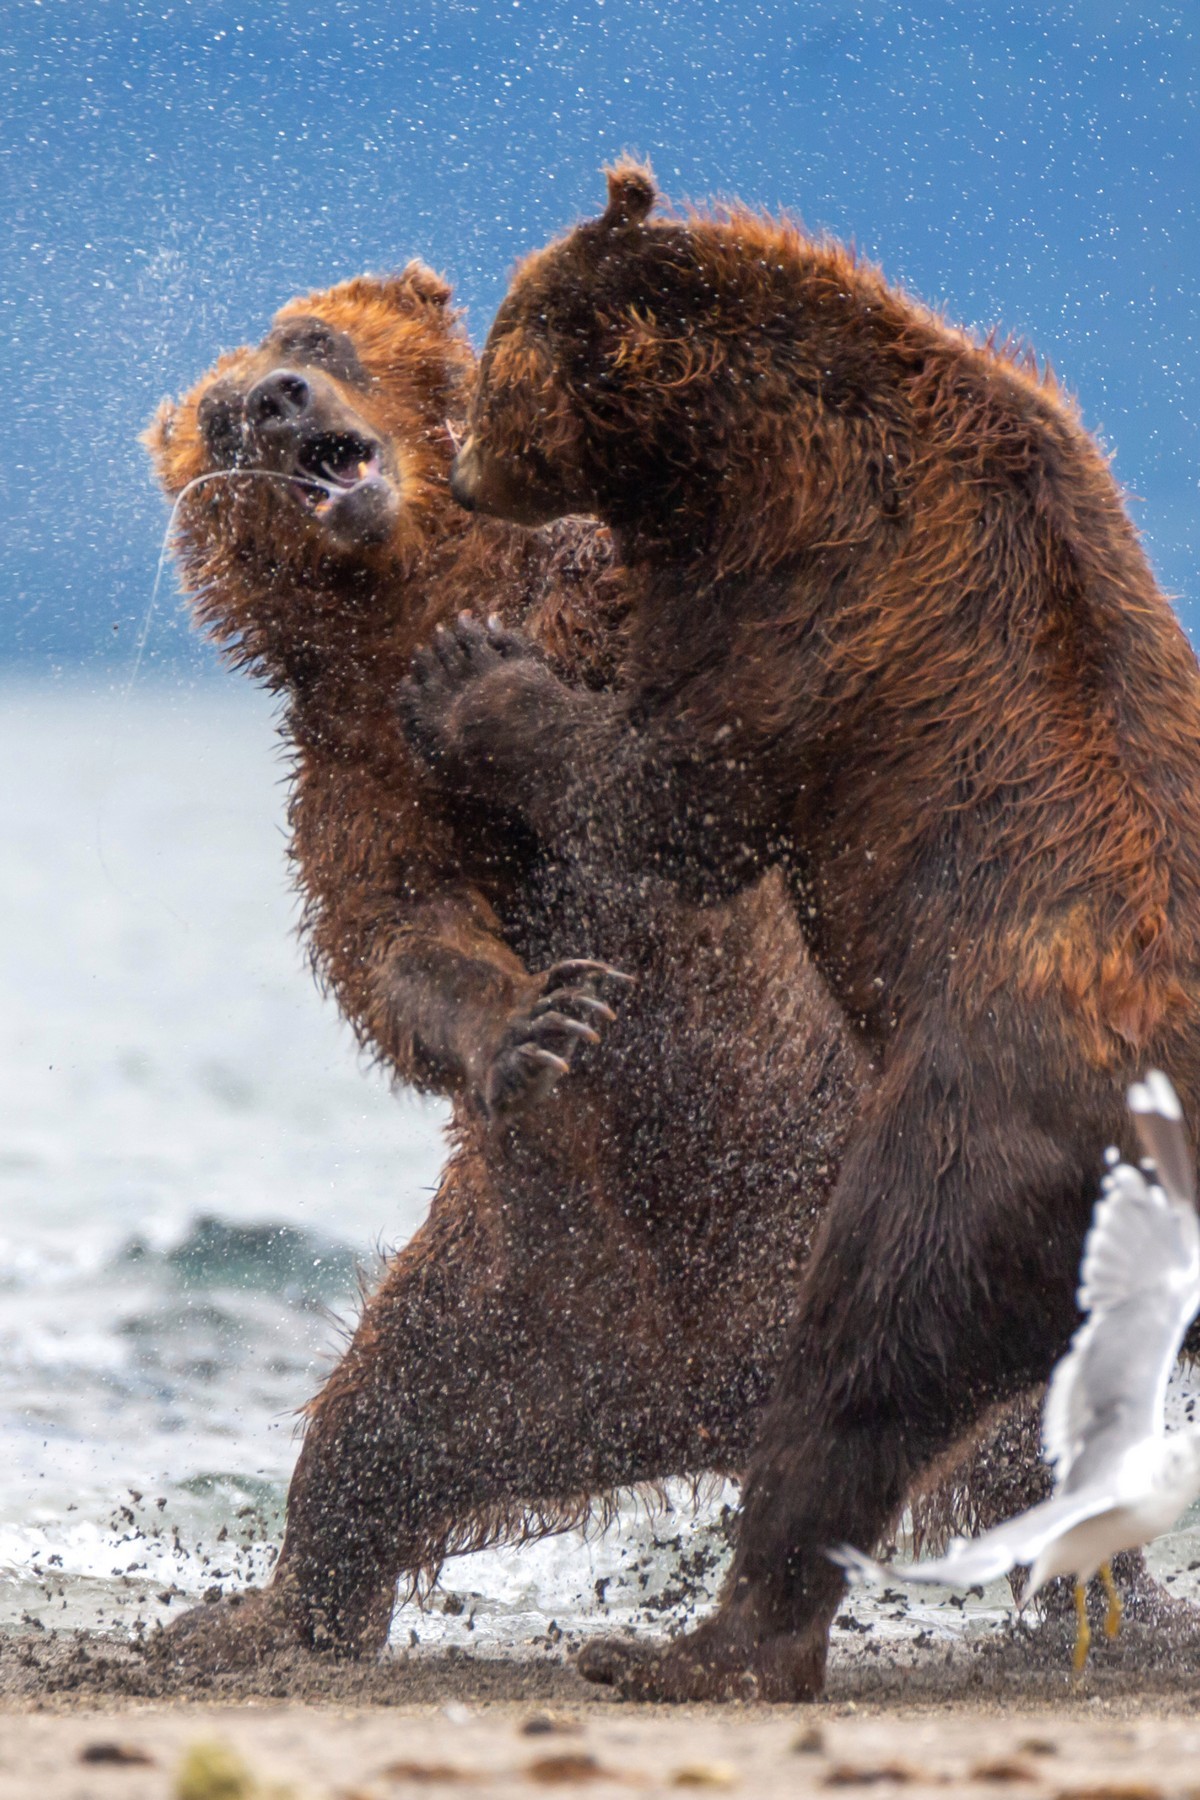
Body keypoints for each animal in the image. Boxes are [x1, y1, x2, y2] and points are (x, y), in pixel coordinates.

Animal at [145, 262, 874, 1656]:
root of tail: (705, 1397)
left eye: (314, 335)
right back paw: (267, 1618)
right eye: (216, 418)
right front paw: (537, 1022)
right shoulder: (355, 774)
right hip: (514, 1296)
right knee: (371, 1437)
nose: (274, 400)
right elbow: (399, 935)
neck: (405, 595)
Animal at [406, 169, 1200, 1699]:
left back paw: (688, 1648)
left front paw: (468, 666)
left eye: (501, 348)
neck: (720, 460)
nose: (458, 463)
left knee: (860, 1355)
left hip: (972, 1124)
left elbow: (664, 793)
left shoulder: (822, 614)